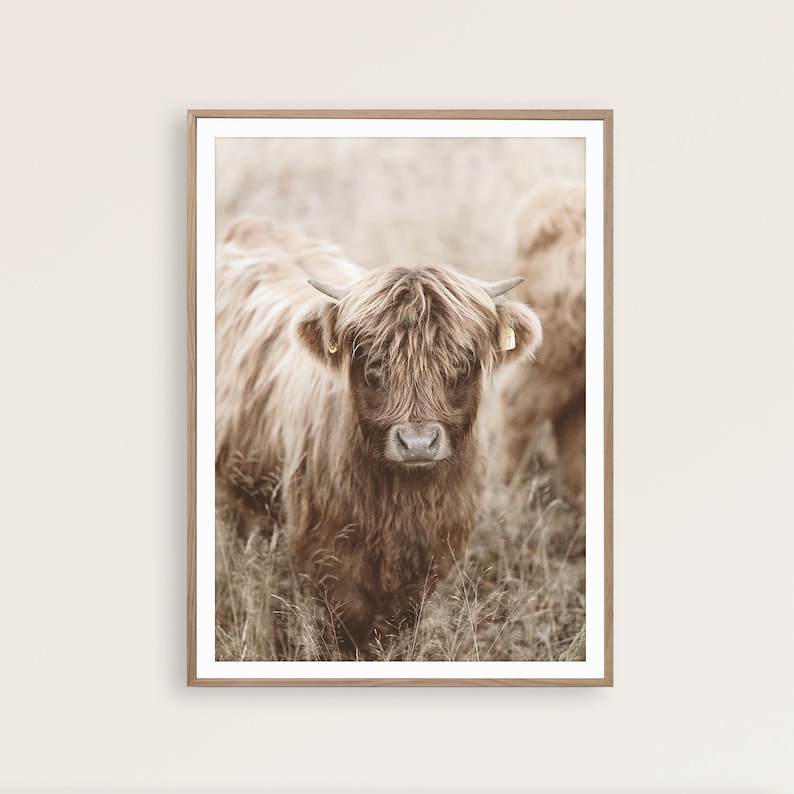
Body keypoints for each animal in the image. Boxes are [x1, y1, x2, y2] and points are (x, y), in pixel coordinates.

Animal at [215, 217, 542, 653]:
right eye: (372, 364)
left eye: (461, 364)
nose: (418, 444)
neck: (401, 499)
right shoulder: (326, 556)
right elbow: (348, 629)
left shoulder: (433, 556)